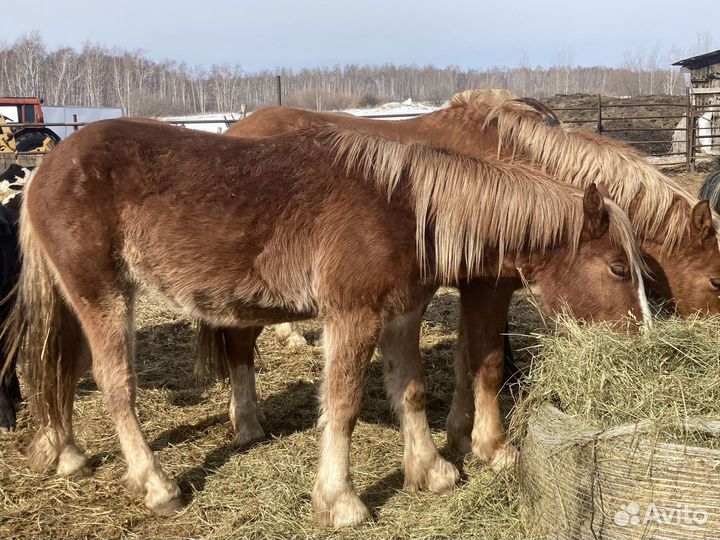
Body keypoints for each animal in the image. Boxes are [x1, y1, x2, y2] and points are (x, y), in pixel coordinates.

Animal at [5, 118, 648, 526]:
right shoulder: (352, 316)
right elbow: (342, 404)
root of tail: (45, 169)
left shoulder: (401, 312)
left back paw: (66, 454)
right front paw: (341, 502)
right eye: (618, 267)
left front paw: (430, 470)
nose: (645, 342)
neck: (404, 205)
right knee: (116, 386)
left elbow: (409, 389)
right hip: (104, 296)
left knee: (58, 369)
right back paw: (157, 487)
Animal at [222, 92, 720, 456]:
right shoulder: (488, 285)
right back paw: (247, 421)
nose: (643, 344)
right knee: (239, 343)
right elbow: (489, 361)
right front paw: (489, 445)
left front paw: (461, 434)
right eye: (717, 280)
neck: (516, 167)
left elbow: (468, 360)